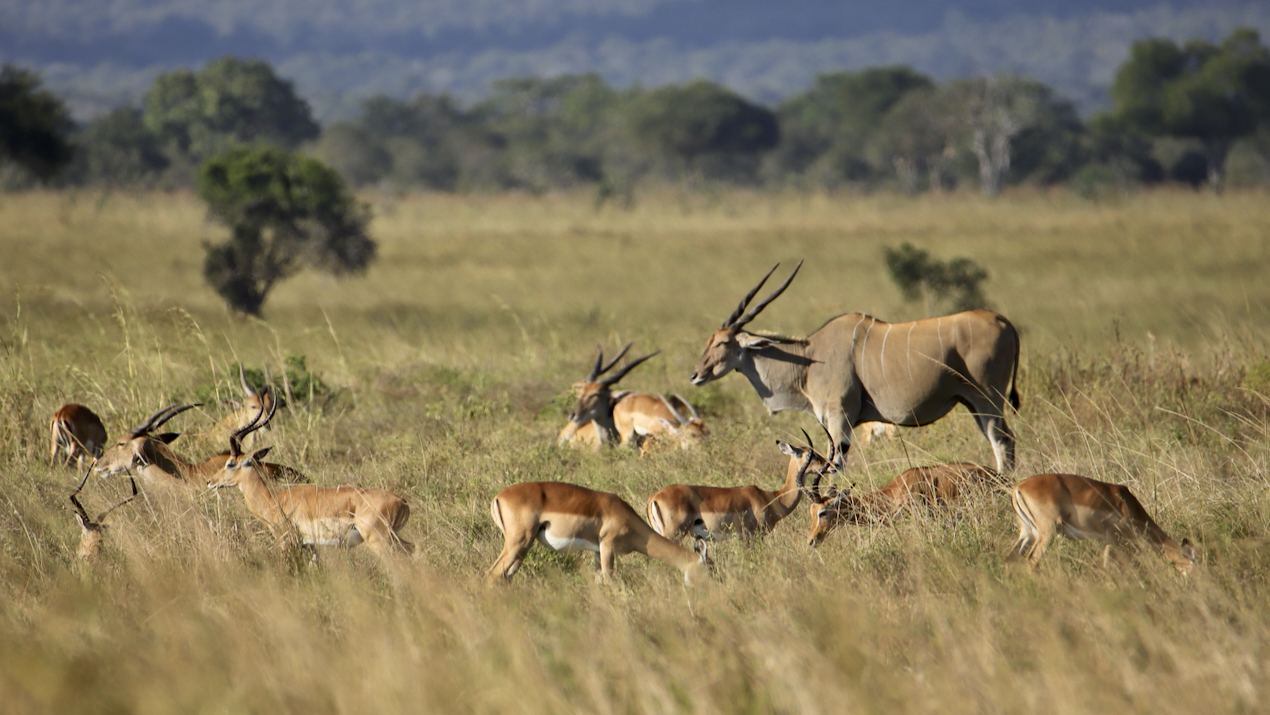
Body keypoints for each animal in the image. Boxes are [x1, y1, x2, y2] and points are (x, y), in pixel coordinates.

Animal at [482, 480, 711, 586]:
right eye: (710, 568)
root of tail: (498, 497)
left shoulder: (597, 551)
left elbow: (598, 580)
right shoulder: (608, 545)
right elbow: (609, 578)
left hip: (522, 549)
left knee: (505, 577)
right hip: (518, 543)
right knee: (492, 574)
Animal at [690, 260, 1016, 472]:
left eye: (722, 343)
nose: (695, 375)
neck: (809, 358)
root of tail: (1004, 321)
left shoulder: (839, 419)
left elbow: (835, 467)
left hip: (986, 400)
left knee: (1002, 441)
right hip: (973, 403)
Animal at [1005, 474, 1193, 576]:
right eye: (1192, 562)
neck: (1129, 506)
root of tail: (1018, 488)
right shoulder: (1112, 538)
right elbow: (1108, 567)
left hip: (1028, 533)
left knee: (1010, 557)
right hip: (1046, 533)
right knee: (1032, 561)